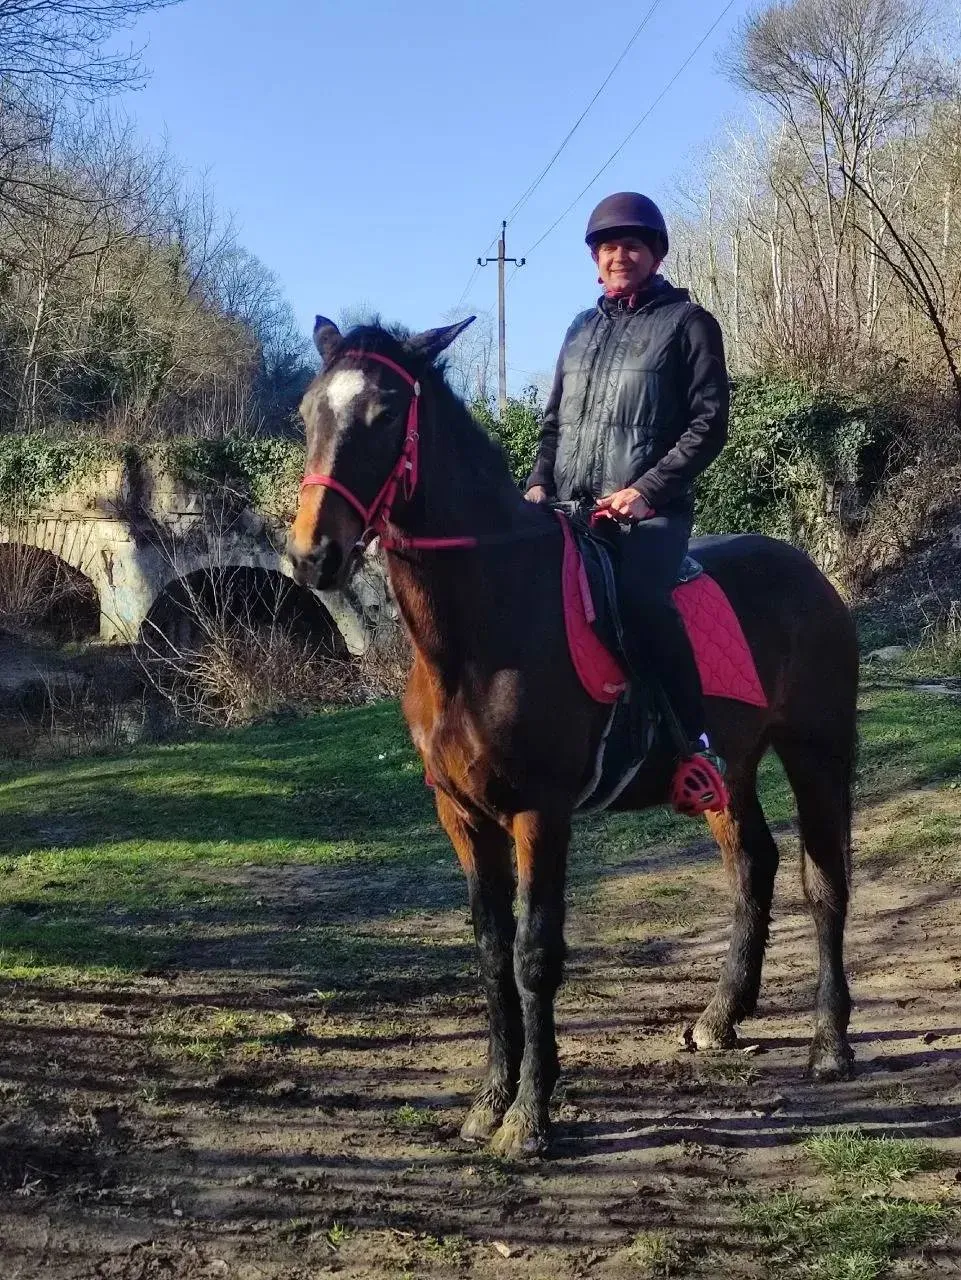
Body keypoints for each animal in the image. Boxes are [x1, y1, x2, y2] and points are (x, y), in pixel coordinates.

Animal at [287, 316, 859, 1160]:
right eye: (306, 414)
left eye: (385, 414)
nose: (311, 557)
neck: (483, 628)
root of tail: (810, 574)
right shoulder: (462, 816)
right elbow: (490, 952)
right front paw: (488, 1102)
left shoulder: (540, 813)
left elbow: (534, 955)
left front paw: (529, 1117)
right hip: (730, 772)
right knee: (752, 867)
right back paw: (720, 1018)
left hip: (816, 751)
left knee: (823, 884)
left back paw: (829, 1042)